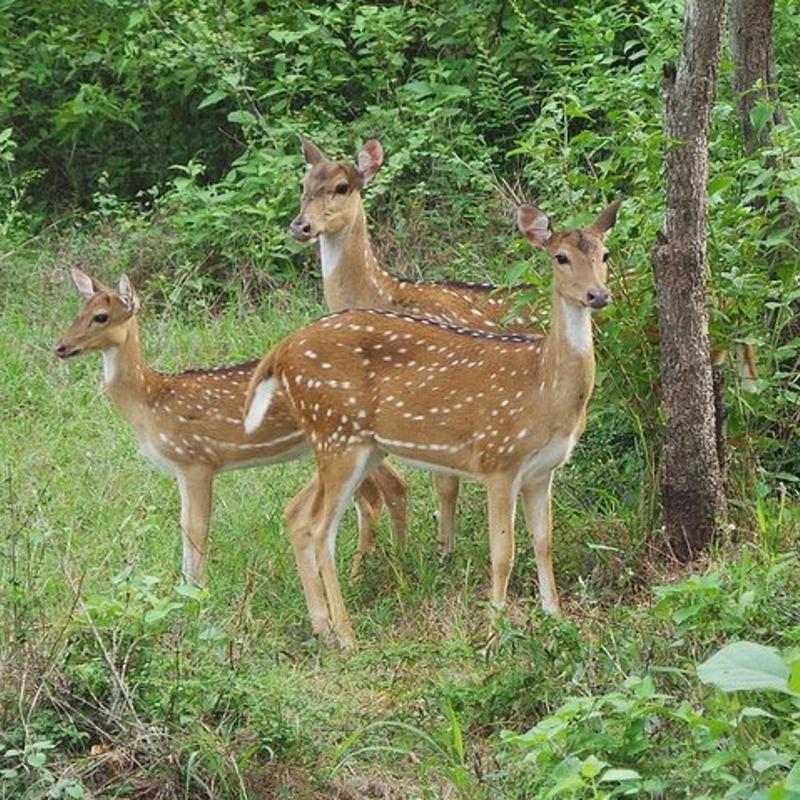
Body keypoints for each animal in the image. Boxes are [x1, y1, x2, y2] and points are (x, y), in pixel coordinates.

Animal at [53, 269, 408, 587]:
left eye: (100, 317)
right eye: (78, 312)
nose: (59, 346)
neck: (150, 402)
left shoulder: (197, 459)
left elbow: (197, 529)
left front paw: (199, 593)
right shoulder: (181, 469)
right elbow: (184, 526)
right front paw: (184, 590)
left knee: (381, 493)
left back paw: (366, 573)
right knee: (387, 488)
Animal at [244, 199, 620, 646]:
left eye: (604, 254)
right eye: (560, 257)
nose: (598, 295)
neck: (544, 390)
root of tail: (280, 351)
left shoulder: (541, 471)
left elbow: (544, 543)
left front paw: (556, 619)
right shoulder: (499, 459)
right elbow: (503, 554)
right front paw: (493, 634)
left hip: (353, 444)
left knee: (298, 513)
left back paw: (324, 628)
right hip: (337, 435)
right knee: (321, 529)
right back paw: (349, 637)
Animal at [288, 137, 542, 558]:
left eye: (342, 187)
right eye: (303, 184)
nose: (300, 225)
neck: (387, 294)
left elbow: (445, 482)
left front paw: (443, 551)